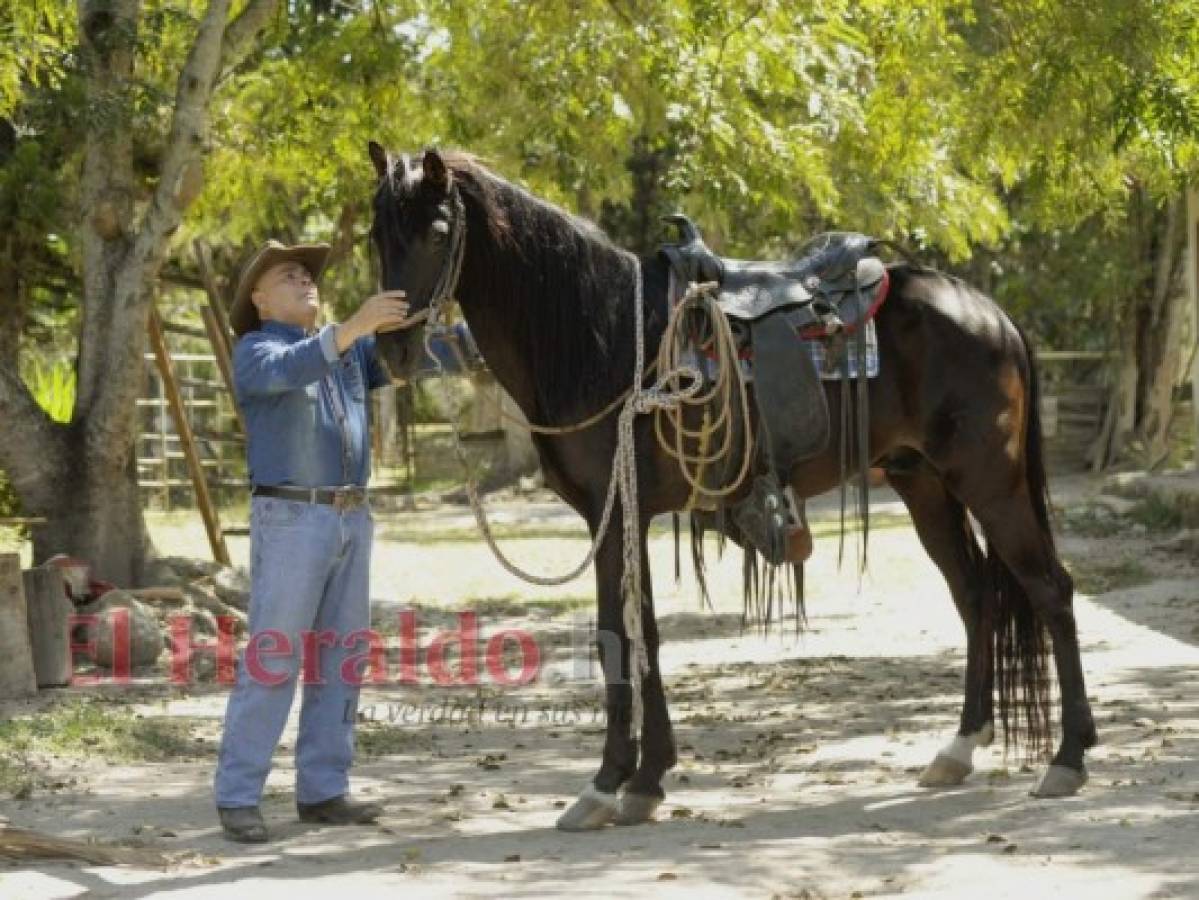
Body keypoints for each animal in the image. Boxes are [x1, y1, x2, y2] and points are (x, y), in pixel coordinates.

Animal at [369, 146, 1098, 829]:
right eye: (377, 231)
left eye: (437, 230)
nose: (393, 351)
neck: (603, 335)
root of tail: (989, 311)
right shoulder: (619, 517)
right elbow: (637, 633)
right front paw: (645, 779)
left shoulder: (616, 512)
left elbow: (619, 636)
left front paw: (608, 783)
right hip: (924, 485)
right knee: (974, 597)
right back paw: (959, 748)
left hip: (989, 480)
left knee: (1049, 590)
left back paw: (1067, 757)